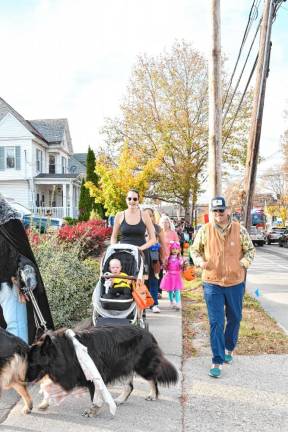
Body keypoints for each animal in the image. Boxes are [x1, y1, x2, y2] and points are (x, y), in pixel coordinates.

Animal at [28, 326, 179, 416]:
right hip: (124, 365)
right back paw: (121, 399)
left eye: (32, 362)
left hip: (142, 366)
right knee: (130, 386)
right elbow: (49, 387)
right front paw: (45, 403)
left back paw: (153, 394)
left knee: (153, 378)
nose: (25, 379)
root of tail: (147, 332)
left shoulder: (95, 374)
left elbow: (95, 396)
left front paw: (93, 410)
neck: (65, 351)